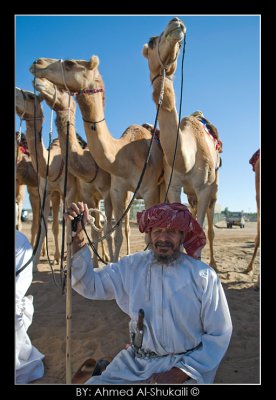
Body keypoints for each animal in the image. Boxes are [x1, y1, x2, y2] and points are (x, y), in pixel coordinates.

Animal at [29, 54, 164, 260]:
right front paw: (107, 261)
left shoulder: (145, 190)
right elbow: (110, 233)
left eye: (69, 63)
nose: (37, 63)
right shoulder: (114, 191)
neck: (123, 156)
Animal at [142, 17, 222, 270]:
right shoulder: (174, 185)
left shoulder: (205, 187)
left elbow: (200, 234)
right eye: (151, 40)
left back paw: (214, 264)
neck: (187, 157)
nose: (175, 22)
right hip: (191, 192)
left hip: (214, 186)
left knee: (209, 226)